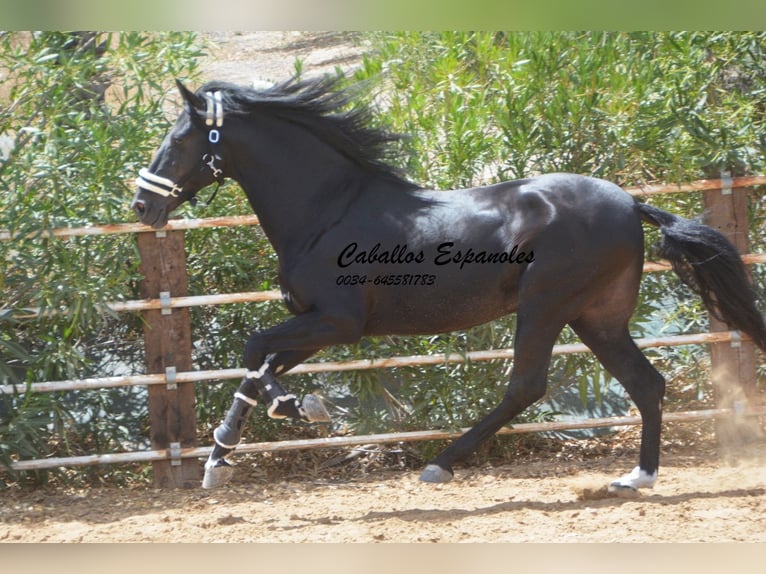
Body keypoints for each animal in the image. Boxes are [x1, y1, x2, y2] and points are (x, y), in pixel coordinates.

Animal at [132, 75, 766, 490]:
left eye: (180, 138)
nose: (142, 204)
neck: (327, 210)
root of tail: (630, 202)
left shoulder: (338, 322)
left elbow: (253, 350)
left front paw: (298, 410)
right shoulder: (315, 325)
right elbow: (258, 363)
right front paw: (220, 456)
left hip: (546, 304)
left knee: (527, 386)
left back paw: (439, 463)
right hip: (598, 316)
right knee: (646, 384)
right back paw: (638, 477)